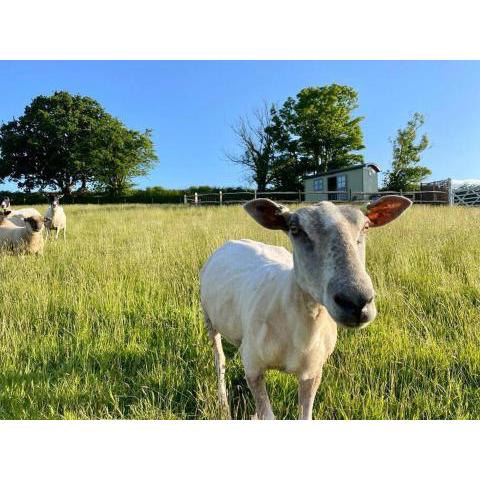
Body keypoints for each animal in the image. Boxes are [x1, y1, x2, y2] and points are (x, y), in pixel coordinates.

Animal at [199, 195, 412, 420]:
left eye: (366, 226)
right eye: (295, 229)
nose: (356, 301)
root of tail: (236, 241)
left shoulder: (313, 372)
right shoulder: (252, 365)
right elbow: (268, 415)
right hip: (209, 319)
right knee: (220, 360)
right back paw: (223, 404)